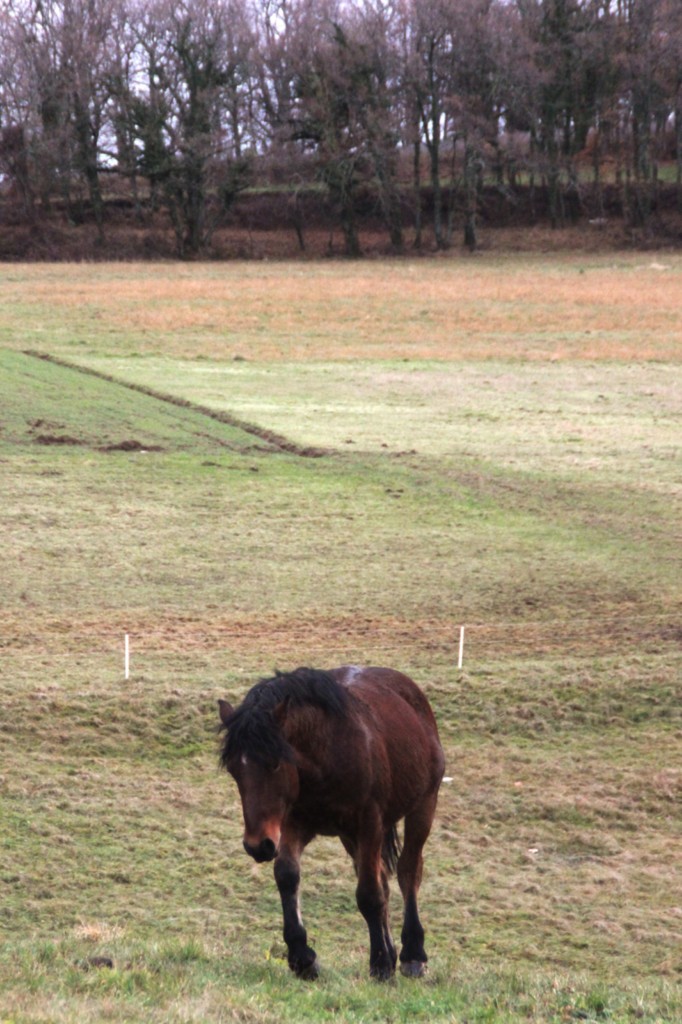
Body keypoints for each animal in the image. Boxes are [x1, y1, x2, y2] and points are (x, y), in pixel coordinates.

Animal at [218, 665, 445, 981]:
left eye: (274, 763)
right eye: (234, 770)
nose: (257, 845)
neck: (326, 754)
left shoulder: (369, 824)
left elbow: (369, 893)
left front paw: (380, 964)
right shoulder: (293, 825)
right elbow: (287, 876)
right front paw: (302, 957)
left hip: (423, 807)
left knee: (408, 872)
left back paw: (412, 954)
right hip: (350, 837)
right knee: (384, 882)